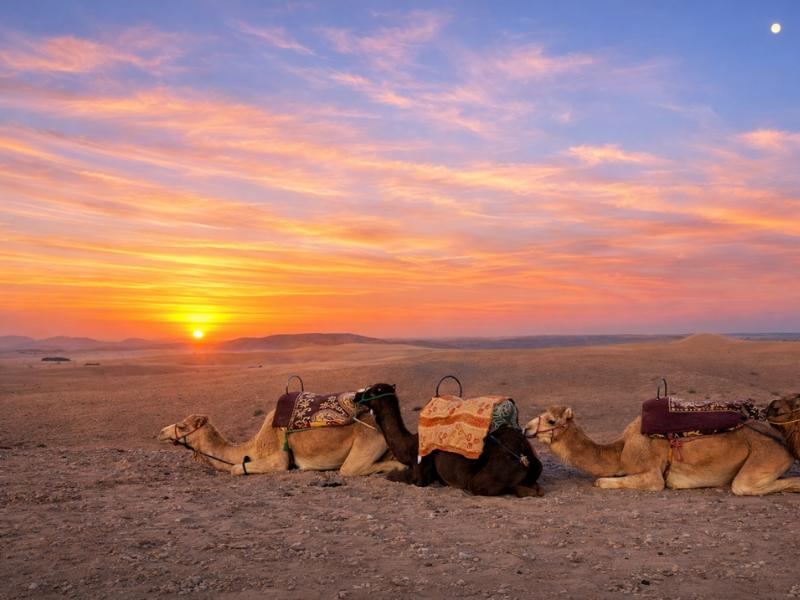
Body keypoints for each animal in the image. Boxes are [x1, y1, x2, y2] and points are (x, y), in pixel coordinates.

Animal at [158, 410, 405, 477]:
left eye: (182, 426)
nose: (161, 432)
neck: (252, 446)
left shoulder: (278, 459)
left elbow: (237, 468)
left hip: (367, 440)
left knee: (350, 469)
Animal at [358, 383, 544, 497]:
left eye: (373, 390)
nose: (356, 396)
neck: (409, 445)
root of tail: (524, 455)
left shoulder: (420, 470)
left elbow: (396, 476)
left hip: (485, 478)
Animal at [524, 405, 800, 495]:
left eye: (551, 420)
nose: (526, 428)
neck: (620, 450)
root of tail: (783, 444)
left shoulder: (653, 475)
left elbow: (600, 481)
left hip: (764, 456)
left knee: (744, 485)